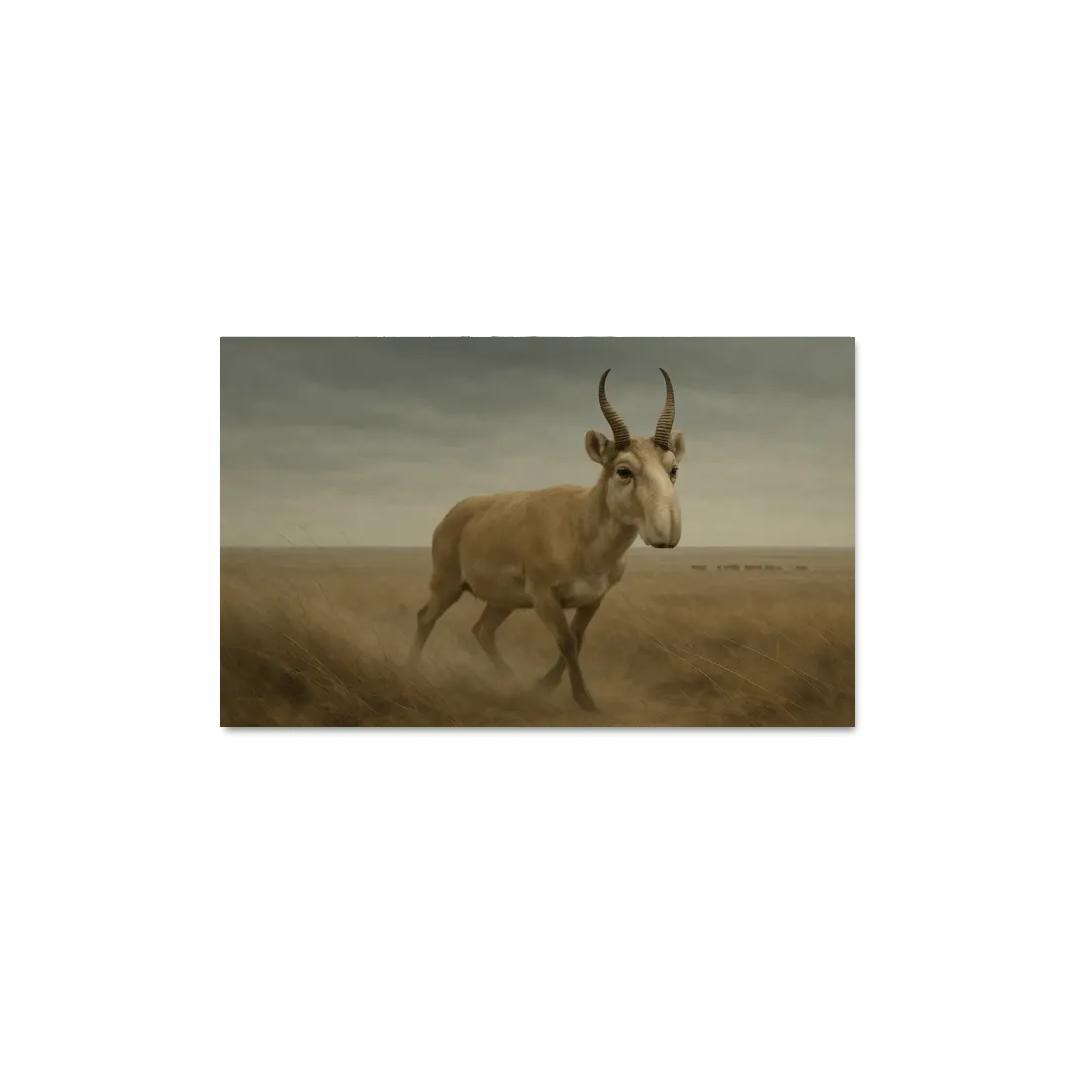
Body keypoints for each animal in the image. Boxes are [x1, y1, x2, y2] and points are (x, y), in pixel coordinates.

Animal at [408, 369, 686, 711]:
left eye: (673, 469)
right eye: (624, 470)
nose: (667, 532)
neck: (581, 531)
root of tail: (453, 514)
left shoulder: (594, 599)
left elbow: (577, 640)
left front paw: (542, 686)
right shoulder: (544, 598)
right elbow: (565, 641)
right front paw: (584, 700)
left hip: (503, 601)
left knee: (482, 630)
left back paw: (510, 679)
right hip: (448, 586)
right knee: (425, 617)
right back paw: (410, 670)